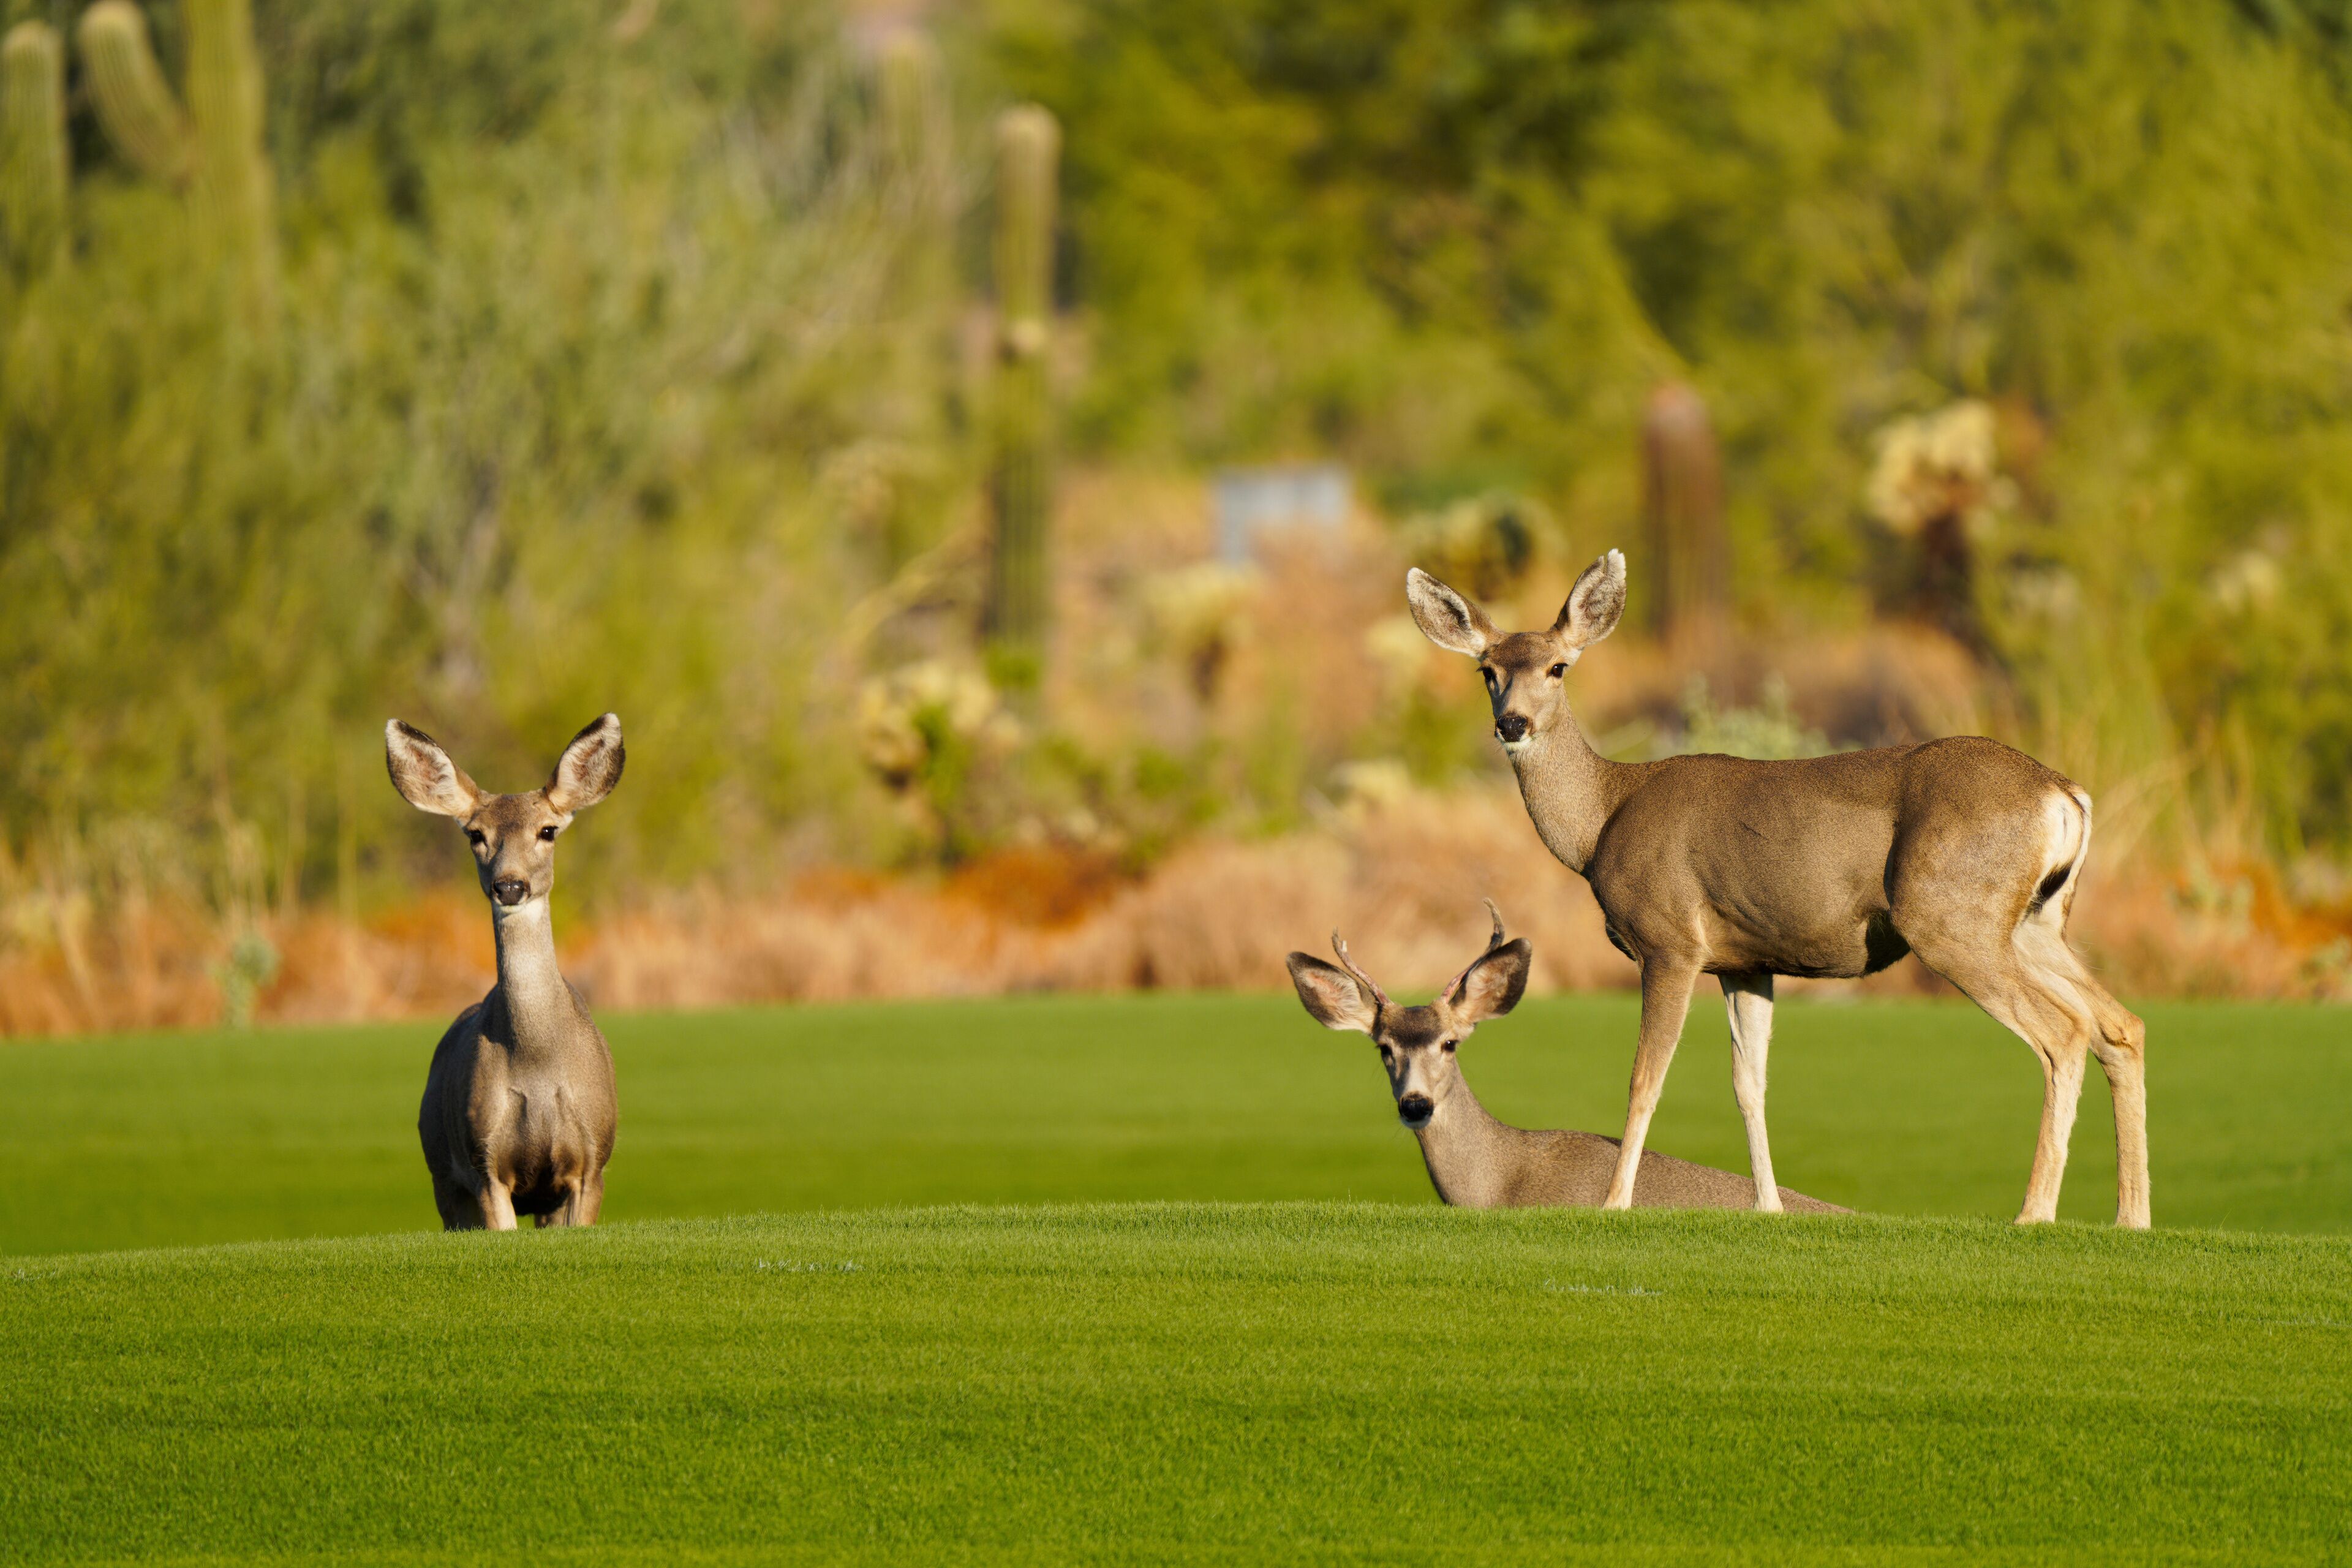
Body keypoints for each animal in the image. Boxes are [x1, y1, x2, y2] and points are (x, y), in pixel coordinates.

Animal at [385, 714, 624, 1231]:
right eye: (475, 834)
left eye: (548, 830)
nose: (510, 885)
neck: (536, 1060)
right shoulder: (484, 1166)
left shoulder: (592, 1162)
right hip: (445, 1181)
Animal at [1406, 551, 2150, 1228]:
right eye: (1487, 671)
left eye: (1559, 667)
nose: (1512, 724)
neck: (1603, 820)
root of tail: (2065, 794)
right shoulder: (1746, 960)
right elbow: (1750, 1084)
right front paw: (1768, 1207)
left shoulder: (1670, 941)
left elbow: (1647, 1077)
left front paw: (1615, 1203)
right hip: (2035, 921)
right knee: (2120, 1023)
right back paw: (2130, 1216)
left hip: (1950, 916)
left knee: (2064, 1032)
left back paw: (2036, 1213)